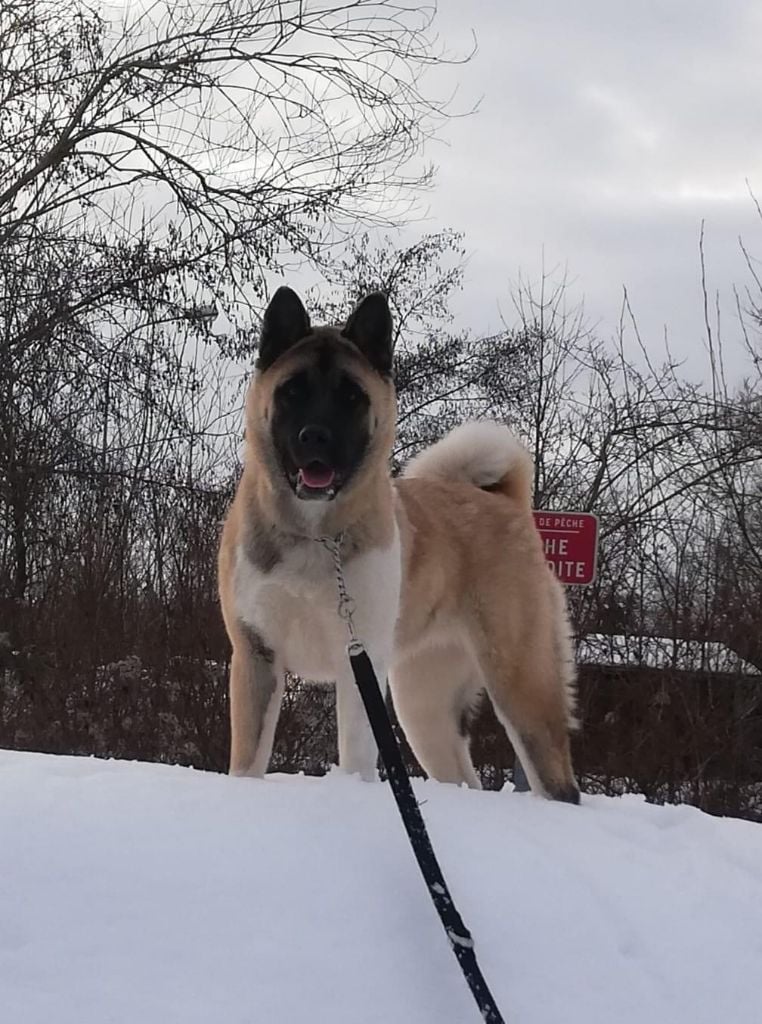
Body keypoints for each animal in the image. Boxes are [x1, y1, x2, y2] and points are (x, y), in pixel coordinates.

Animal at [217, 286, 581, 798]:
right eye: (292, 391)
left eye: (351, 396)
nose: (316, 436)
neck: (314, 531)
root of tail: (504, 502)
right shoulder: (256, 656)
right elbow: (248, 759)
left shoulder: (361, 658)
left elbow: (355, 753)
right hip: (424, 704)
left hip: (522, 682)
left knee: (559, 780)